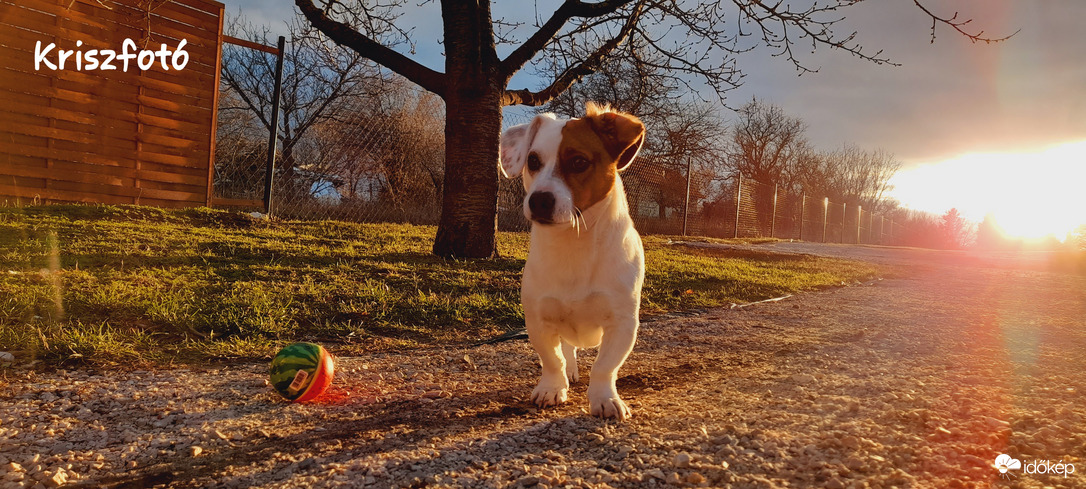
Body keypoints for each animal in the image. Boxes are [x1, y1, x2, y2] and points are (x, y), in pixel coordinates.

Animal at [499, 103, 642, 419]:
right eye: (533, 160)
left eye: (578, 162)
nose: (539, 200)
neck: (573, 242)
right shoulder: (538, 320)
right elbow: (553, 360)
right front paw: (552, 388)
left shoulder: (622, 323)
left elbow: (604, 367)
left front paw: (604, 398)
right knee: (567, 349)